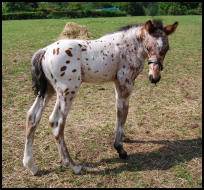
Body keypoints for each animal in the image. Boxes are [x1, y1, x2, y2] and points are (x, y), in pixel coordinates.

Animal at [23, 20, 178, 174]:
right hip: (67, 91)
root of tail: (45, 50)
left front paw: (122, 138)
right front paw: (120, 148)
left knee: (32, 116)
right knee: (56, 122)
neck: (128, 46)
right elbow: (123, 112)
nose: (154, 78)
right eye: (148, 47)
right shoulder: (126, 83)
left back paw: (31, 165)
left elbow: (119, 111)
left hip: (48, 90)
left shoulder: (118, 83)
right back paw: (73, 165)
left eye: (167, 49)